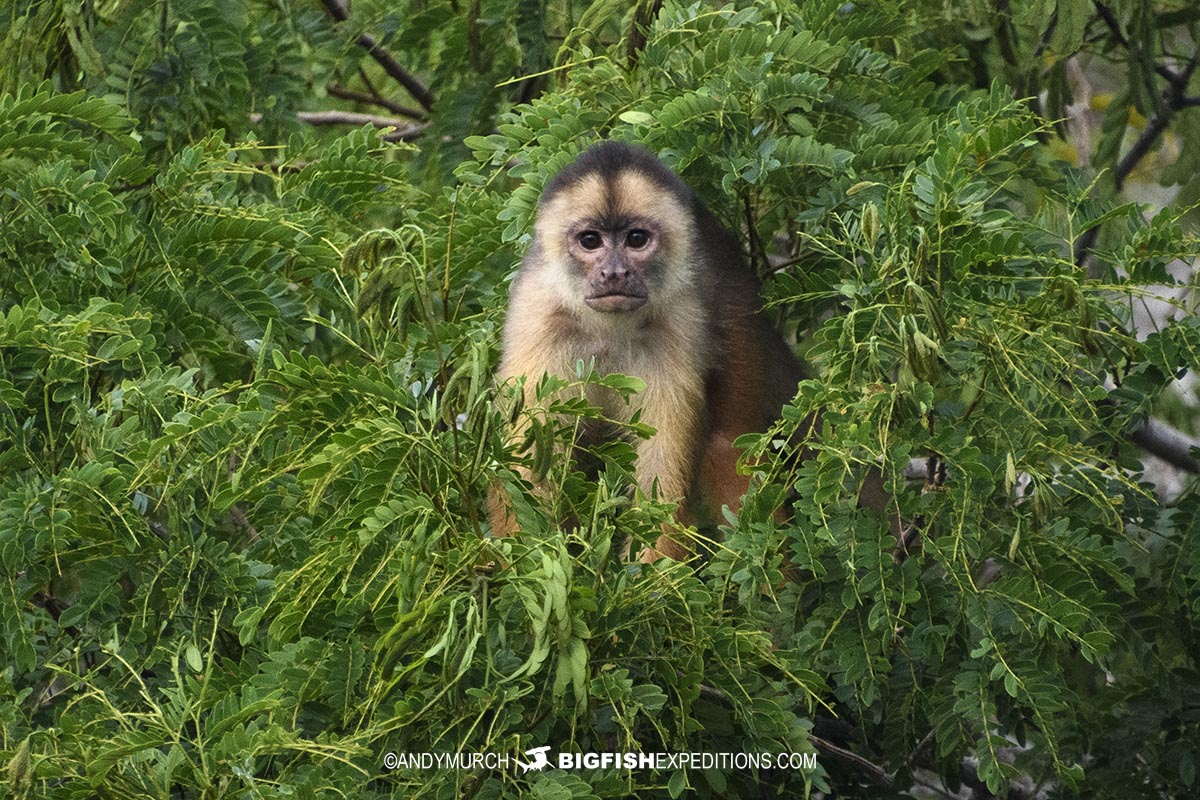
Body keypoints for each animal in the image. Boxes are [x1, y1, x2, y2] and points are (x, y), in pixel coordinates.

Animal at [488, 140, 808, 560]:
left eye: (636, 239)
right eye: (590, 241)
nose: (614, 273)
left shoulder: (677, 324)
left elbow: (661, 492)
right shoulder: (538, 320)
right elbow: (525, 475)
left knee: (726, 446)